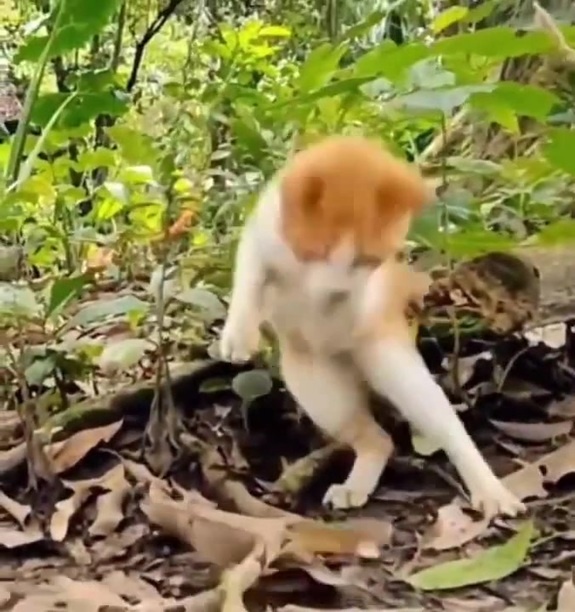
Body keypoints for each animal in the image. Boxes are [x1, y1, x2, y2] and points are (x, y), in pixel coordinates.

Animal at [219, 135, 524, 519]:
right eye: (320, 250)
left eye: (368, 260)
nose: (335, 294)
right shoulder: (263, 233)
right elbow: (250, 274)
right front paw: (239, 334)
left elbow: (360, 297)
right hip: (318, 383)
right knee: (371, 433)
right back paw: (359, 477)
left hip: (387, 356)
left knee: (441, 418)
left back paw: (489, 489)